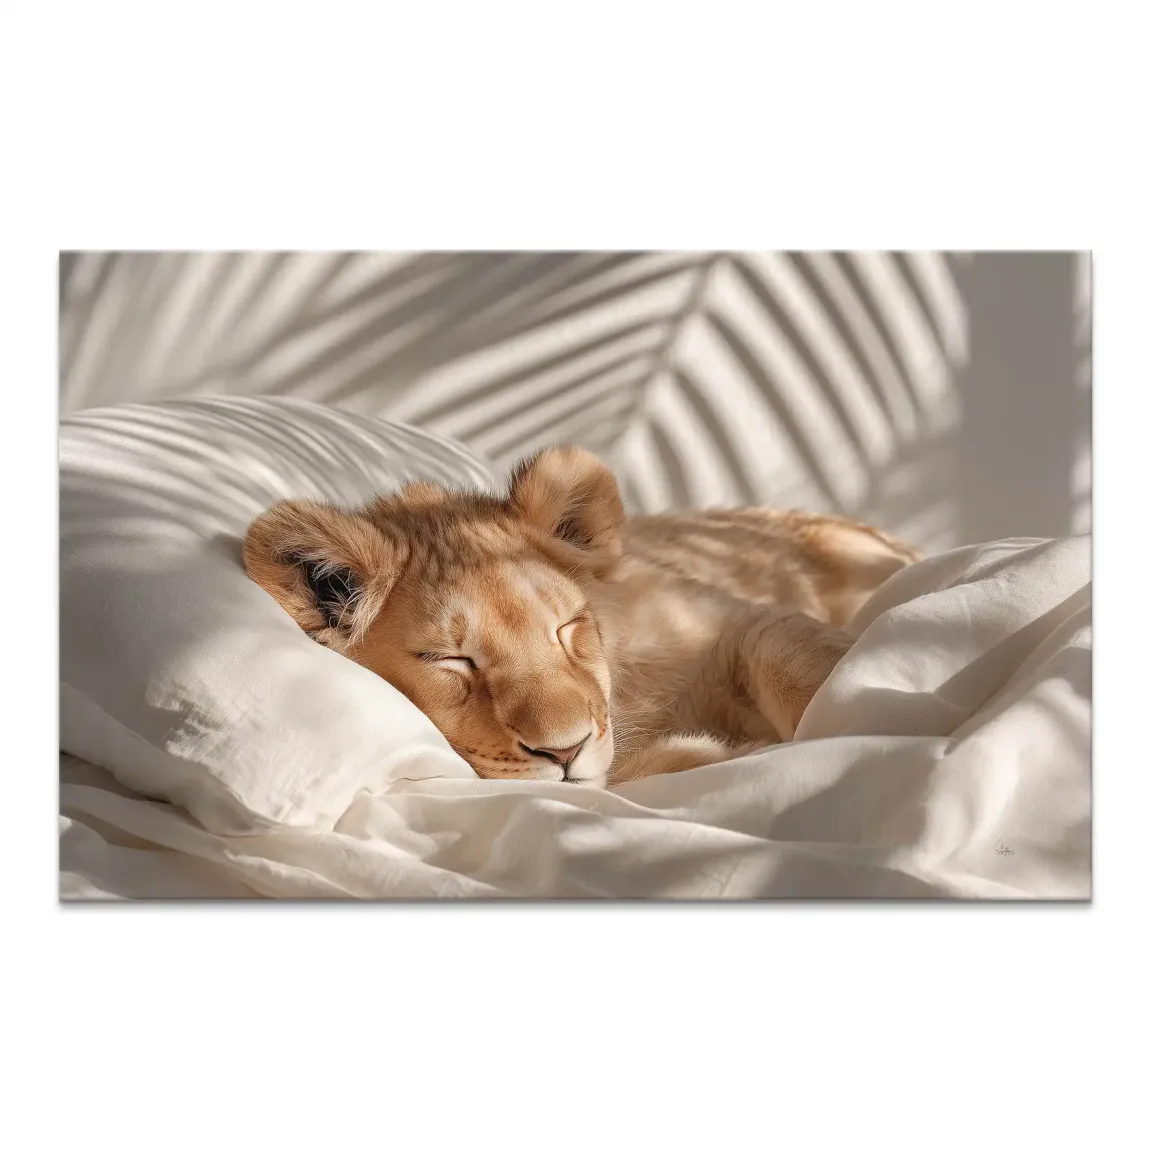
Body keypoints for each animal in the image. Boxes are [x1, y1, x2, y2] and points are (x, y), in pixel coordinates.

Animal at [243, 446, 920, 787]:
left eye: (566, 628)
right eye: (450, 660)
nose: (563, 751)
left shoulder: (726, 619)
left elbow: (788, 651)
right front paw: (725, 754)